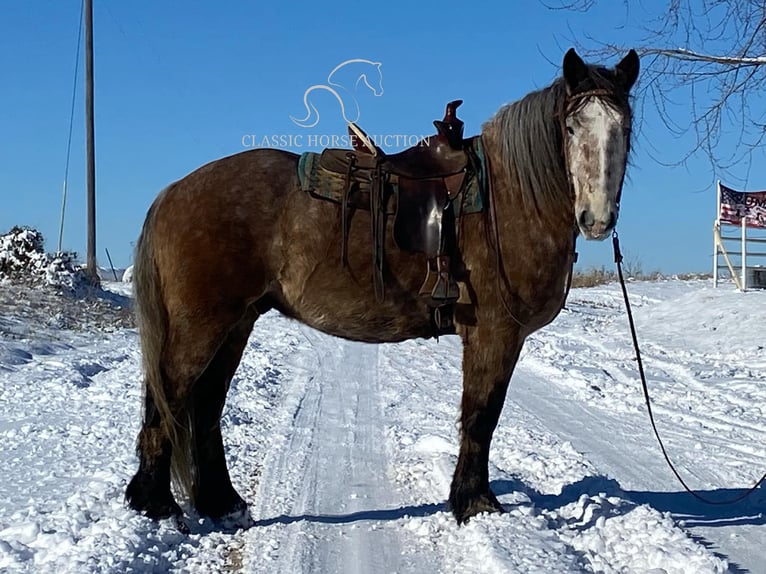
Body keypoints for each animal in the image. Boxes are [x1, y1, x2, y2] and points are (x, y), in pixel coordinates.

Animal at [127, 48, 640, 528]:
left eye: (626, 126)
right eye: (571, 127)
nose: (597, 219)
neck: (509, 197)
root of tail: (174, 191)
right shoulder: (494, 334)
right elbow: (482, 416)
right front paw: (475, 503)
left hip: (237, 322)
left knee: (206, 404)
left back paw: (222, 503)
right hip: (202, 325)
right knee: (169, 396)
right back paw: (155, 503)